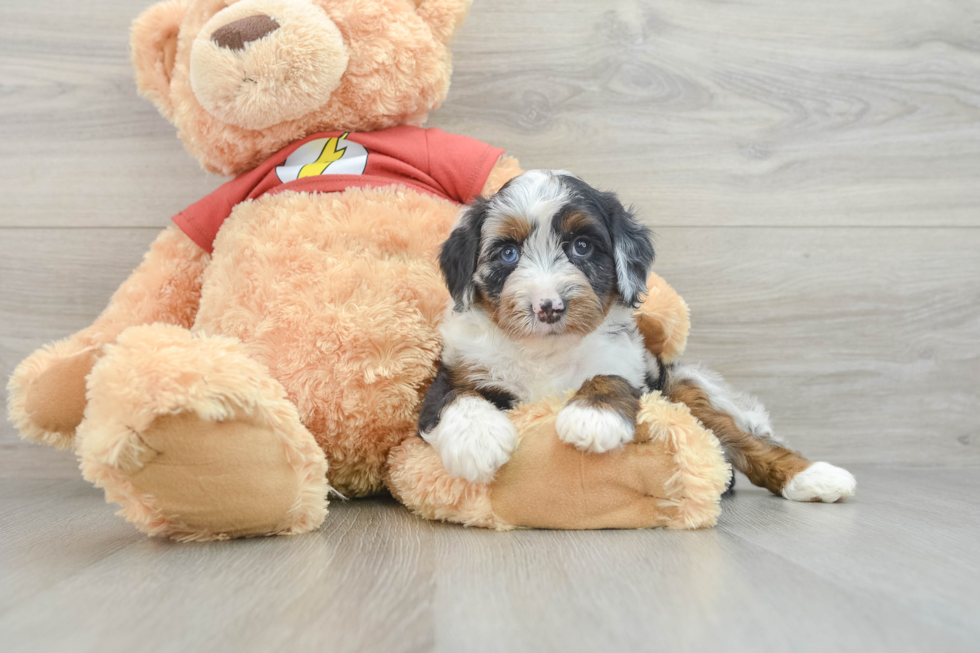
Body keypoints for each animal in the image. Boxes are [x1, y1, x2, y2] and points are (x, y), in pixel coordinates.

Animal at [418, 169, 852, 504]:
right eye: (508, 254)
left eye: (581, 246)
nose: (549, 307)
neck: (545, 352)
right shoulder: (456, 370)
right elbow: (456, 395)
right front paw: (477, 440)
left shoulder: (628, 362)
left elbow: (608, 376)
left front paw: (593, 418)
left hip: (683, 387)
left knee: (746, 439)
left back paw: (816, 477)